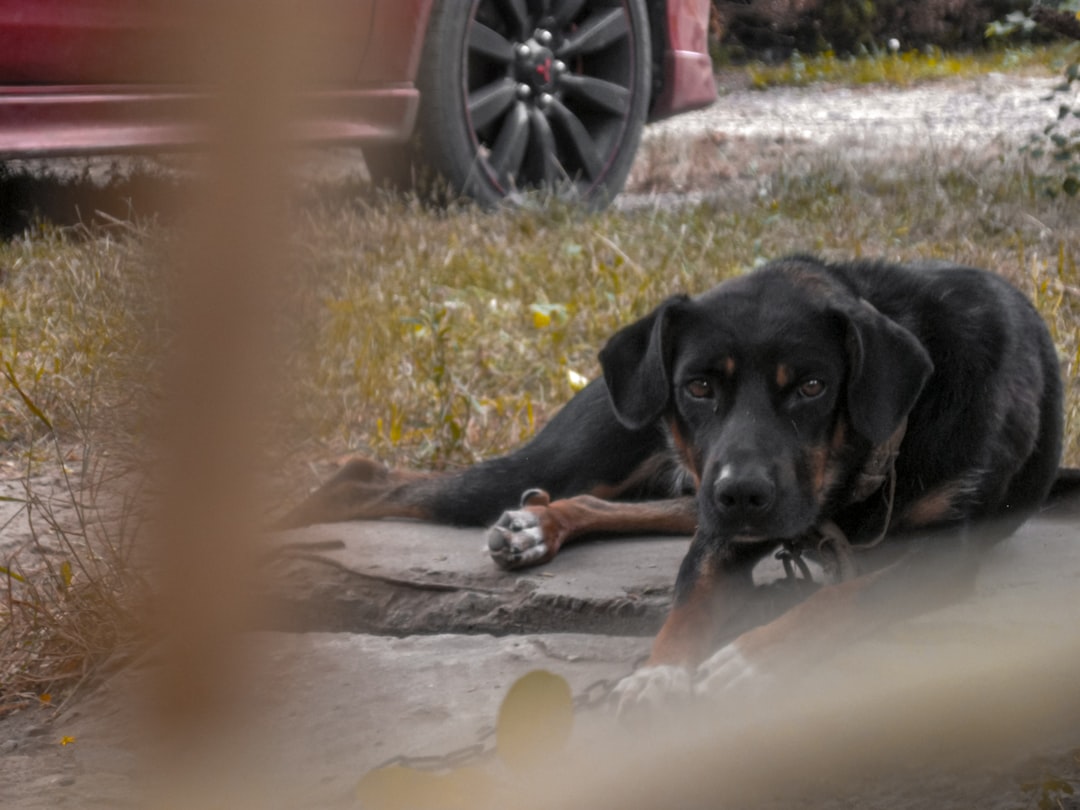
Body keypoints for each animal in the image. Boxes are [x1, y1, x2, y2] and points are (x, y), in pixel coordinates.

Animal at [278, 258, 1071, 704]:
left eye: (813, 386)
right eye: (699, 386)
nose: (743, 493)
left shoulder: (941, 555)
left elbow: (841, 597)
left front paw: (751, 659)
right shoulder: (723, 528)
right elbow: (686, 608)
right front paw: (656, 676)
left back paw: (539, 526)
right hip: (604, 460)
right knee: (368, 474)